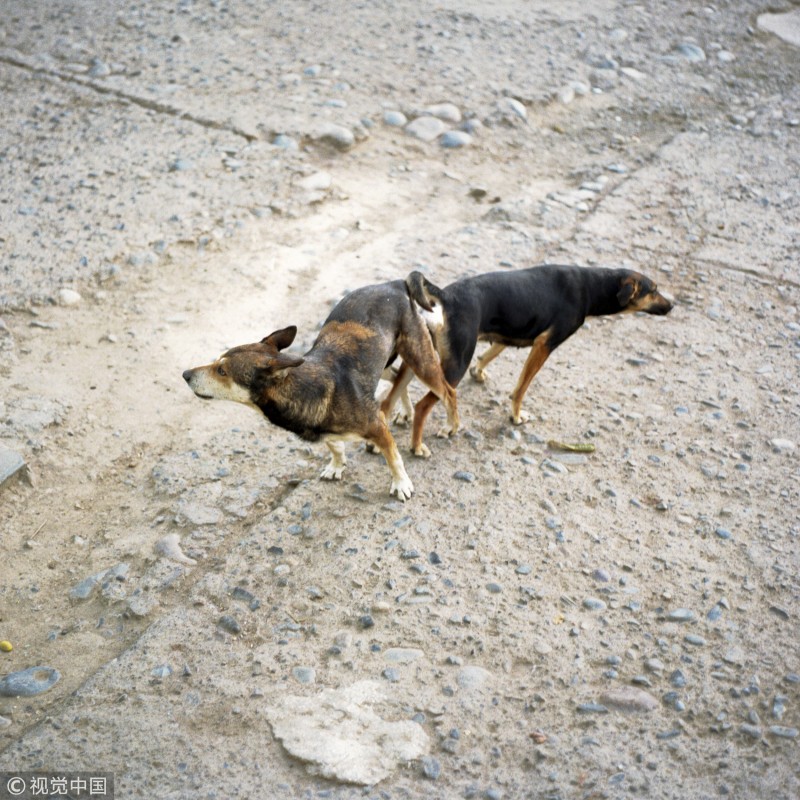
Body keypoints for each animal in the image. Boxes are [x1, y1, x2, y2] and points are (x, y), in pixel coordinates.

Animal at [182, 278, 456, 496]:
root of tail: (396, 283)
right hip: (383, 362)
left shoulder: (376, 425)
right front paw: (336, 465)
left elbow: (394, 457)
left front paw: (401, 484)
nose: (185, 374)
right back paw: (406, 411)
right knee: (399, 378)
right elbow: (334, 445)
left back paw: (452, 425)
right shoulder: (326, 429)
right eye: (217, 362)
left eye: (222, 371)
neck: (301, 388)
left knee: (448, 391)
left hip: (421, 360)